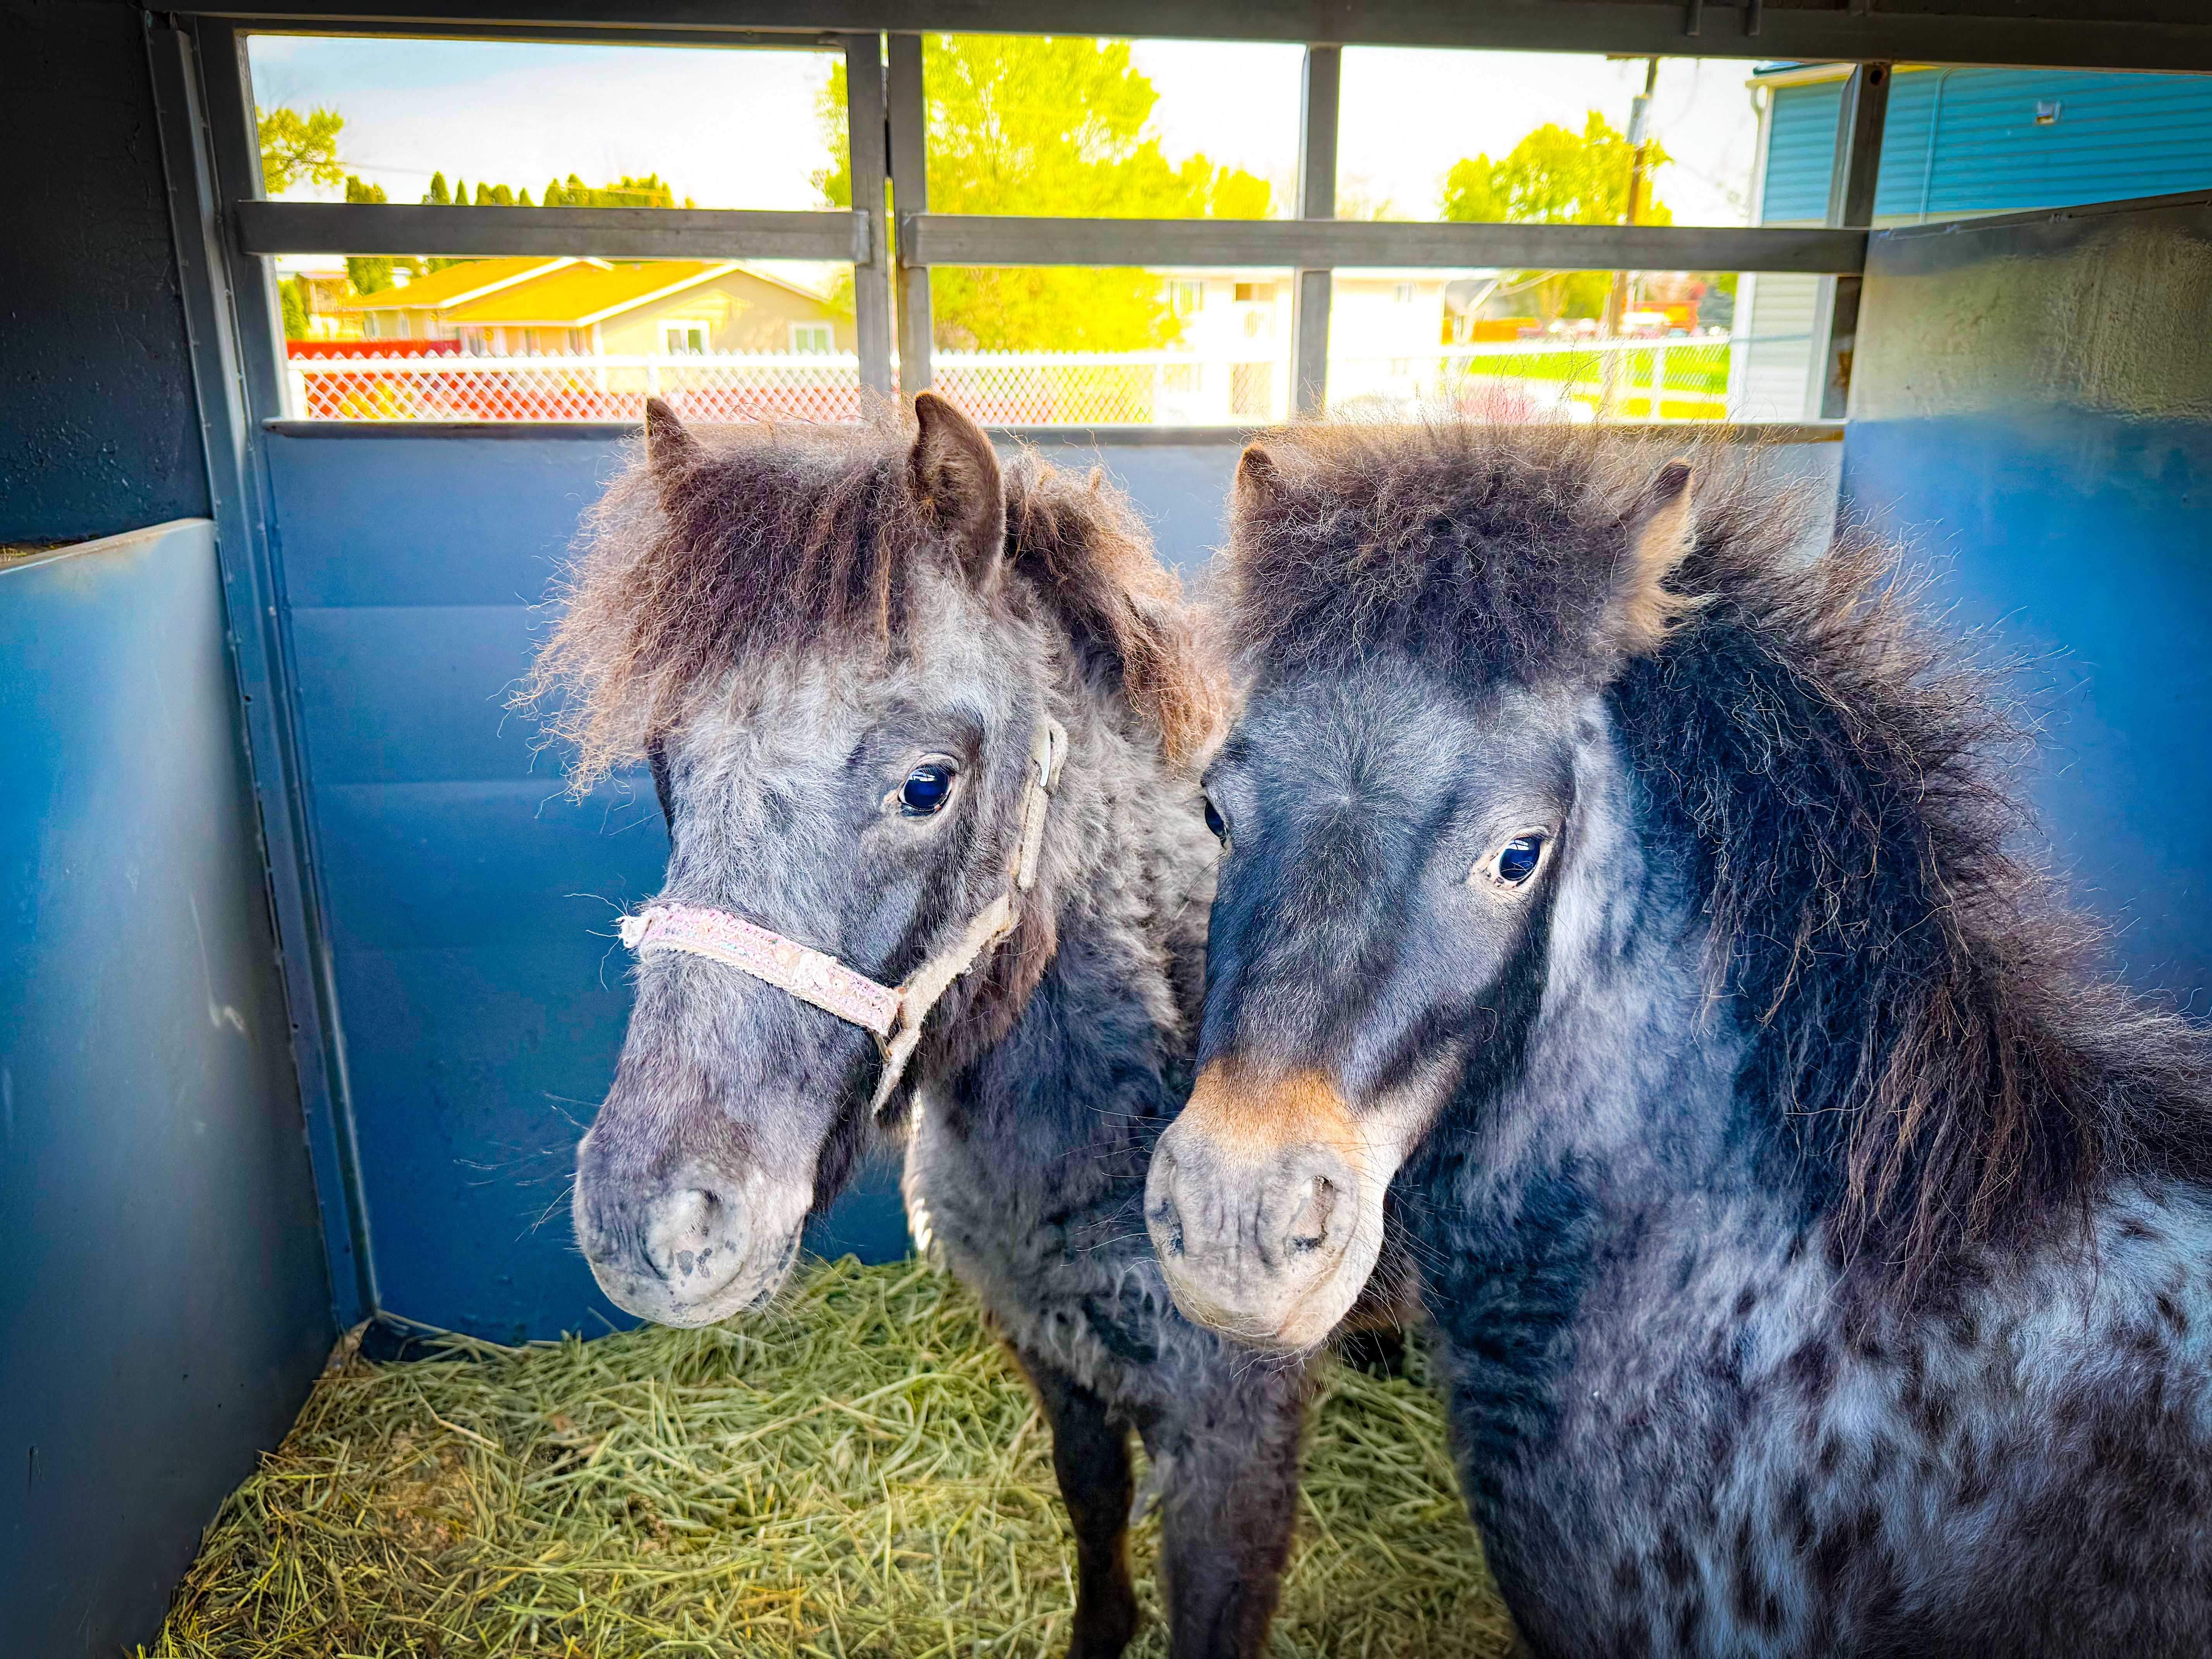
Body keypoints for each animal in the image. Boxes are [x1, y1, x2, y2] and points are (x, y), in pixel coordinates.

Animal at [525, 393, 1325, 1658]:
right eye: (665, 768)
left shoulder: (1237, 1439)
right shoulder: (1055, 1359)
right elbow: (1091, 1508)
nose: (652, 1224)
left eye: (927, 784)